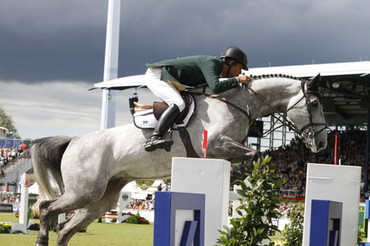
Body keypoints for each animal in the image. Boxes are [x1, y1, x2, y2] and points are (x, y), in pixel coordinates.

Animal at [31, 74, 326, 245]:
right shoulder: (217, 144)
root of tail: (73, 141)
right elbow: (254, 154)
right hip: (84, 191)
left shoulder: (225, 148)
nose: (322, 143)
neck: (235, 103)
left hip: (101, 199)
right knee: (46, 208)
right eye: (314, 104)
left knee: (66, 230)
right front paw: (243, 178)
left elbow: (253, 156)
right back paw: (41, 239)